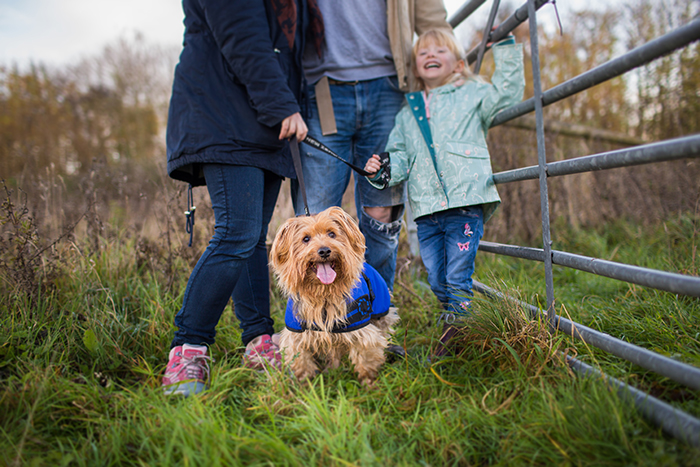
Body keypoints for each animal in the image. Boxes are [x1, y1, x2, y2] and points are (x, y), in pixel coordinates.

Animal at [270, 207, 400, 386]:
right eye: (306, 239)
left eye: (331, 234)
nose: (324, 250)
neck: (323, 293)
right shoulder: (297, 334)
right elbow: (301, 361)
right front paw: (306, 385)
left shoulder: (360, 330)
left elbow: (366, 357)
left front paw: (370, 383)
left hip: (381, 313)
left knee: (384, 329)